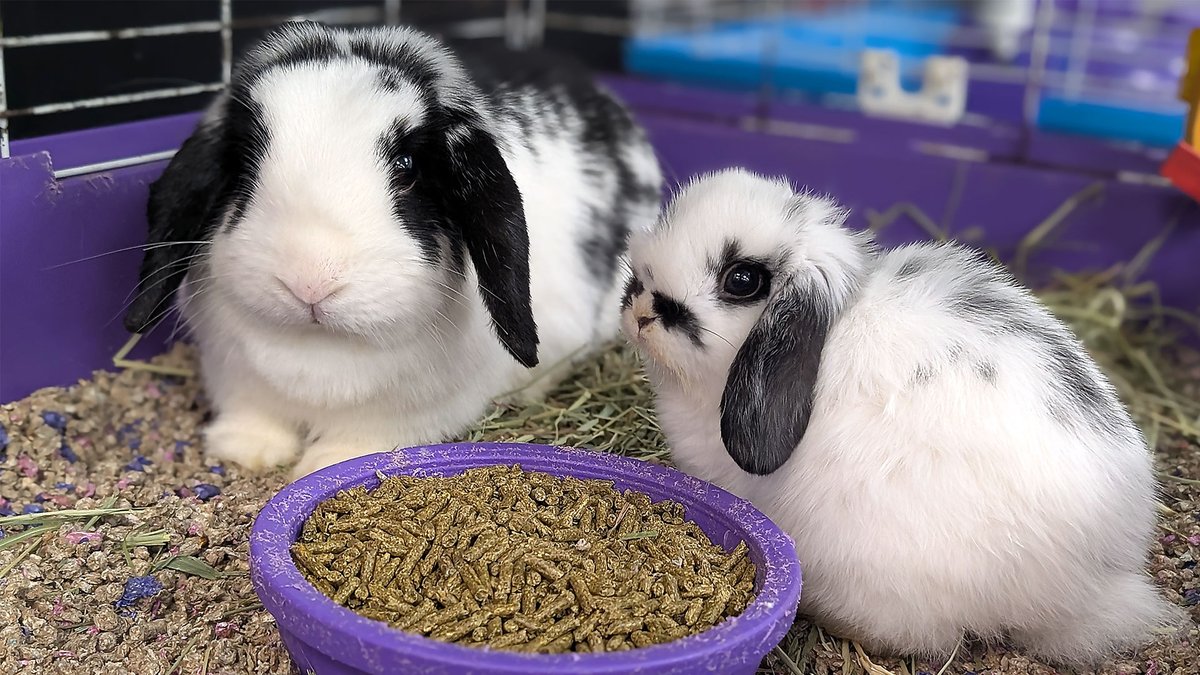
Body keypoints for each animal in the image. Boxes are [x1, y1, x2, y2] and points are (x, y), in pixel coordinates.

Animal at [123, 20, 663, 480]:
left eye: (406, 168)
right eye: (246, 165)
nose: (309, 279)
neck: (320, 350)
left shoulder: (408, 415)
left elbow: (365, 438)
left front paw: (325, 464)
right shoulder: (235, 378)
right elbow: (253, 415)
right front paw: (246, 451)